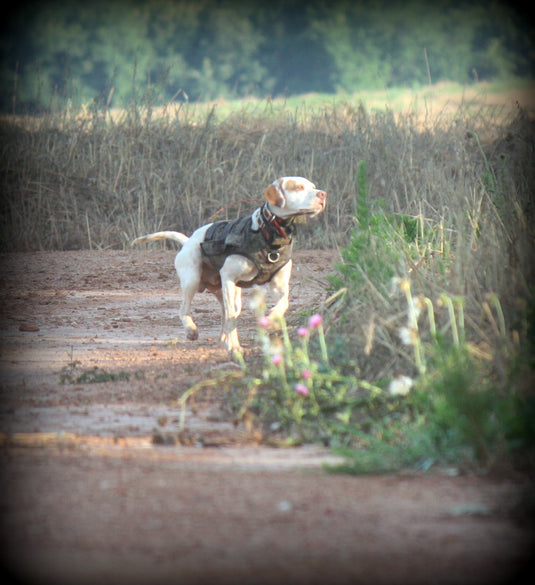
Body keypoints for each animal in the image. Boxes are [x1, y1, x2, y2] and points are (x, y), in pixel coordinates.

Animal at [133, 176, 326, 354]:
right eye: (299, 187)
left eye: (313, 187)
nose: (323, 194)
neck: (270, 234)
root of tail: (188, 241)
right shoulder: (228, 278)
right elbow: (231, 318)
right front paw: (233, 347)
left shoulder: (279, 286)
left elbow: (283, 303)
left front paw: (271, 321)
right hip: (193, 281)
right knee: (185, 310)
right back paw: (192, 330)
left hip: (230, 295)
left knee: (225, 316)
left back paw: (224, 340)